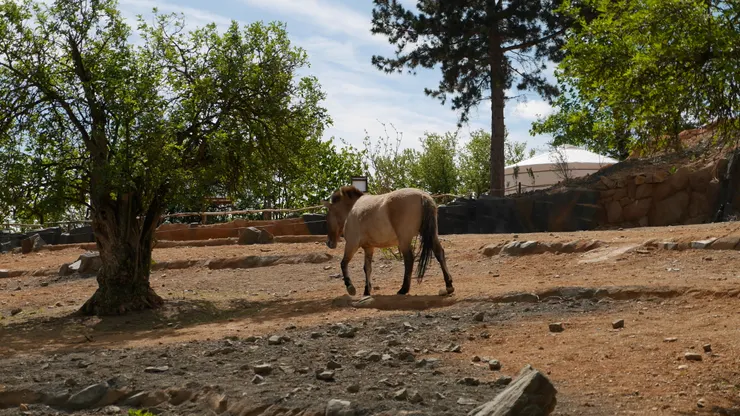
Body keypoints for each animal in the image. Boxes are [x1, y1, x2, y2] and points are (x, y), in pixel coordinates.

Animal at [322, 185, 455, 297]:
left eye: (327, 217)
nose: (329, 243)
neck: (352, 209)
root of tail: (422, 196)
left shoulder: (351, 244)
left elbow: (343, 263)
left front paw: (350, 287)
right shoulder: (368, 248)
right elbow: (367, 268)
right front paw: (366, 291)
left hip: (404, 240)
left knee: (409, 260)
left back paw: (403, 289)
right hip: (431, 235)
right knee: (439, 253)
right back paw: (449, 285)